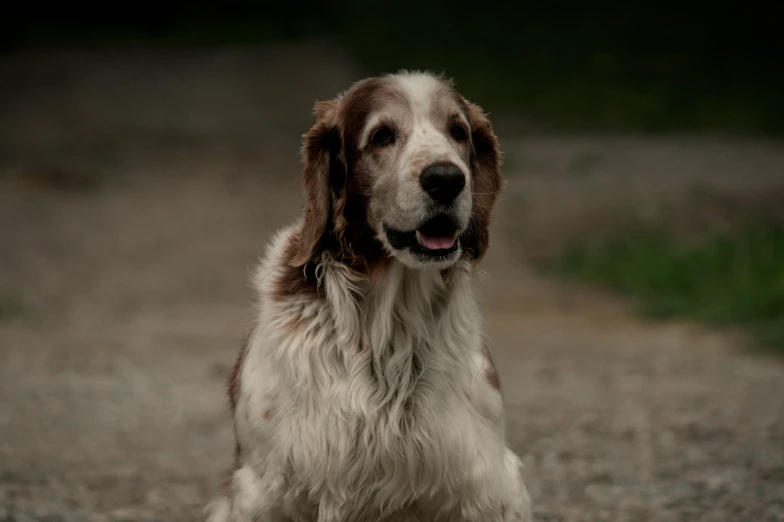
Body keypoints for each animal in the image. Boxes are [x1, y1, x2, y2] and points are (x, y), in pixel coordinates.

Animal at [205, 70, 532, 520]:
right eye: (381, 136)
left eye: (458, 131)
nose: (447, 179)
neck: (389, 325)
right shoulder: (263, 487)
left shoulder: (488, 484)